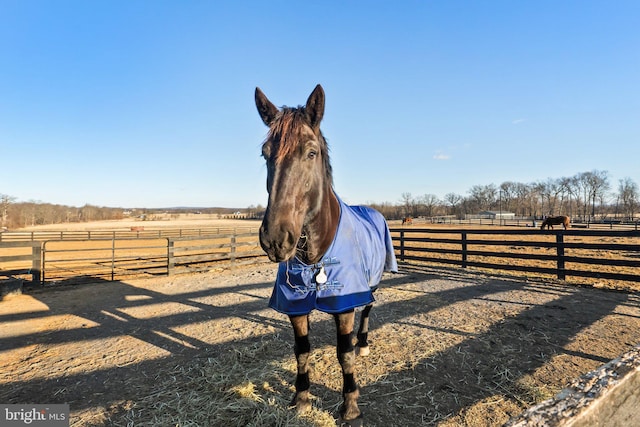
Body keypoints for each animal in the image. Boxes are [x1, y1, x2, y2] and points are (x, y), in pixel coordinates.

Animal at [254, 85, 396, 426]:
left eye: (311, 152)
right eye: (265, 153)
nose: (275, 238)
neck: (314, 257)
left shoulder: (344, 304)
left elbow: (343, 353)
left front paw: (350, 405)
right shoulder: (294, 306)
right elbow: (301, 351)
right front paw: (301, 399)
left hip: (372, 281)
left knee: (368, 307)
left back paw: (364, 344)